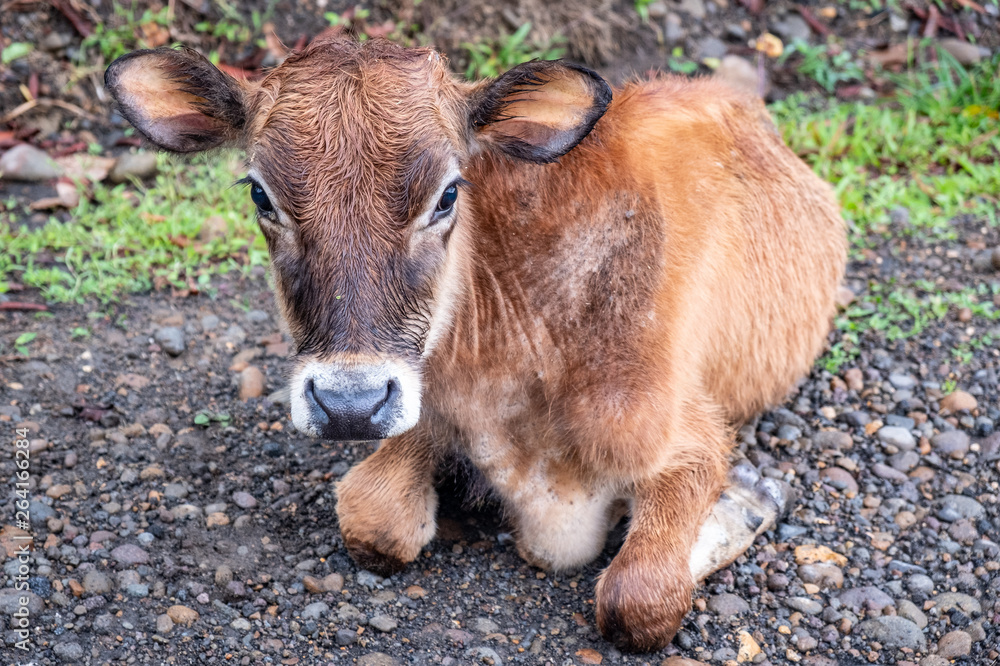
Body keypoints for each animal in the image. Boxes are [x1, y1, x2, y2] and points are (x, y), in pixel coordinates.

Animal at [105, 38, 846, 652]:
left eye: (447, 194)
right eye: (261, 194)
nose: (349, 405)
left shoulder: (687, 433)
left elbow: (637, 602)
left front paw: (749, 499)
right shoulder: (420, 405)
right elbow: (373, 522)